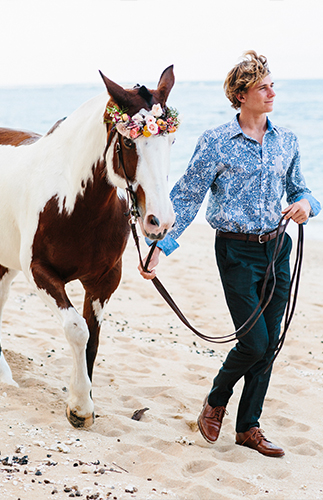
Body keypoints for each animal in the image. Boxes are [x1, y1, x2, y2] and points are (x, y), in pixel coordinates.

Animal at [0, 64, 177, 428]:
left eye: (172, 140)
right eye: (128, 141)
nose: (160, 222)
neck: (73, 201)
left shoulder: (104, 279)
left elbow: (93, 339)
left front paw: (88, 402)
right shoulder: (40, 273)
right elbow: (77, 330)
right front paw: (79, 406)